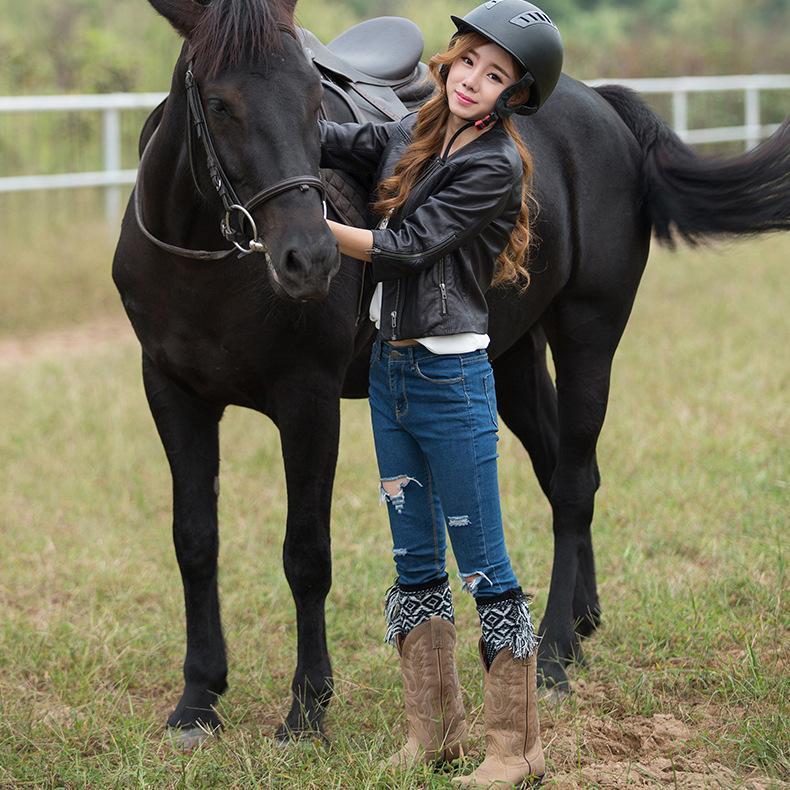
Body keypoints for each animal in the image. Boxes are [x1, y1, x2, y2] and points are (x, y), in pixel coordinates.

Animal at [113, 0, 790, 744]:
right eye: (219, 103)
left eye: (314, 99)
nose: (310, 258)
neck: (205, 265)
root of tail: (603, 110)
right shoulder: (173, 394)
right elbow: (195, 542)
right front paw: (197, 699)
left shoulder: (307, 402)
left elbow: (306, 555)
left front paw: (307, 709)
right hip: (511, 354)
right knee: (562, 472)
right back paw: (581, 624)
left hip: (589, 334)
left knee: (574, 484)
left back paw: (555, 654)